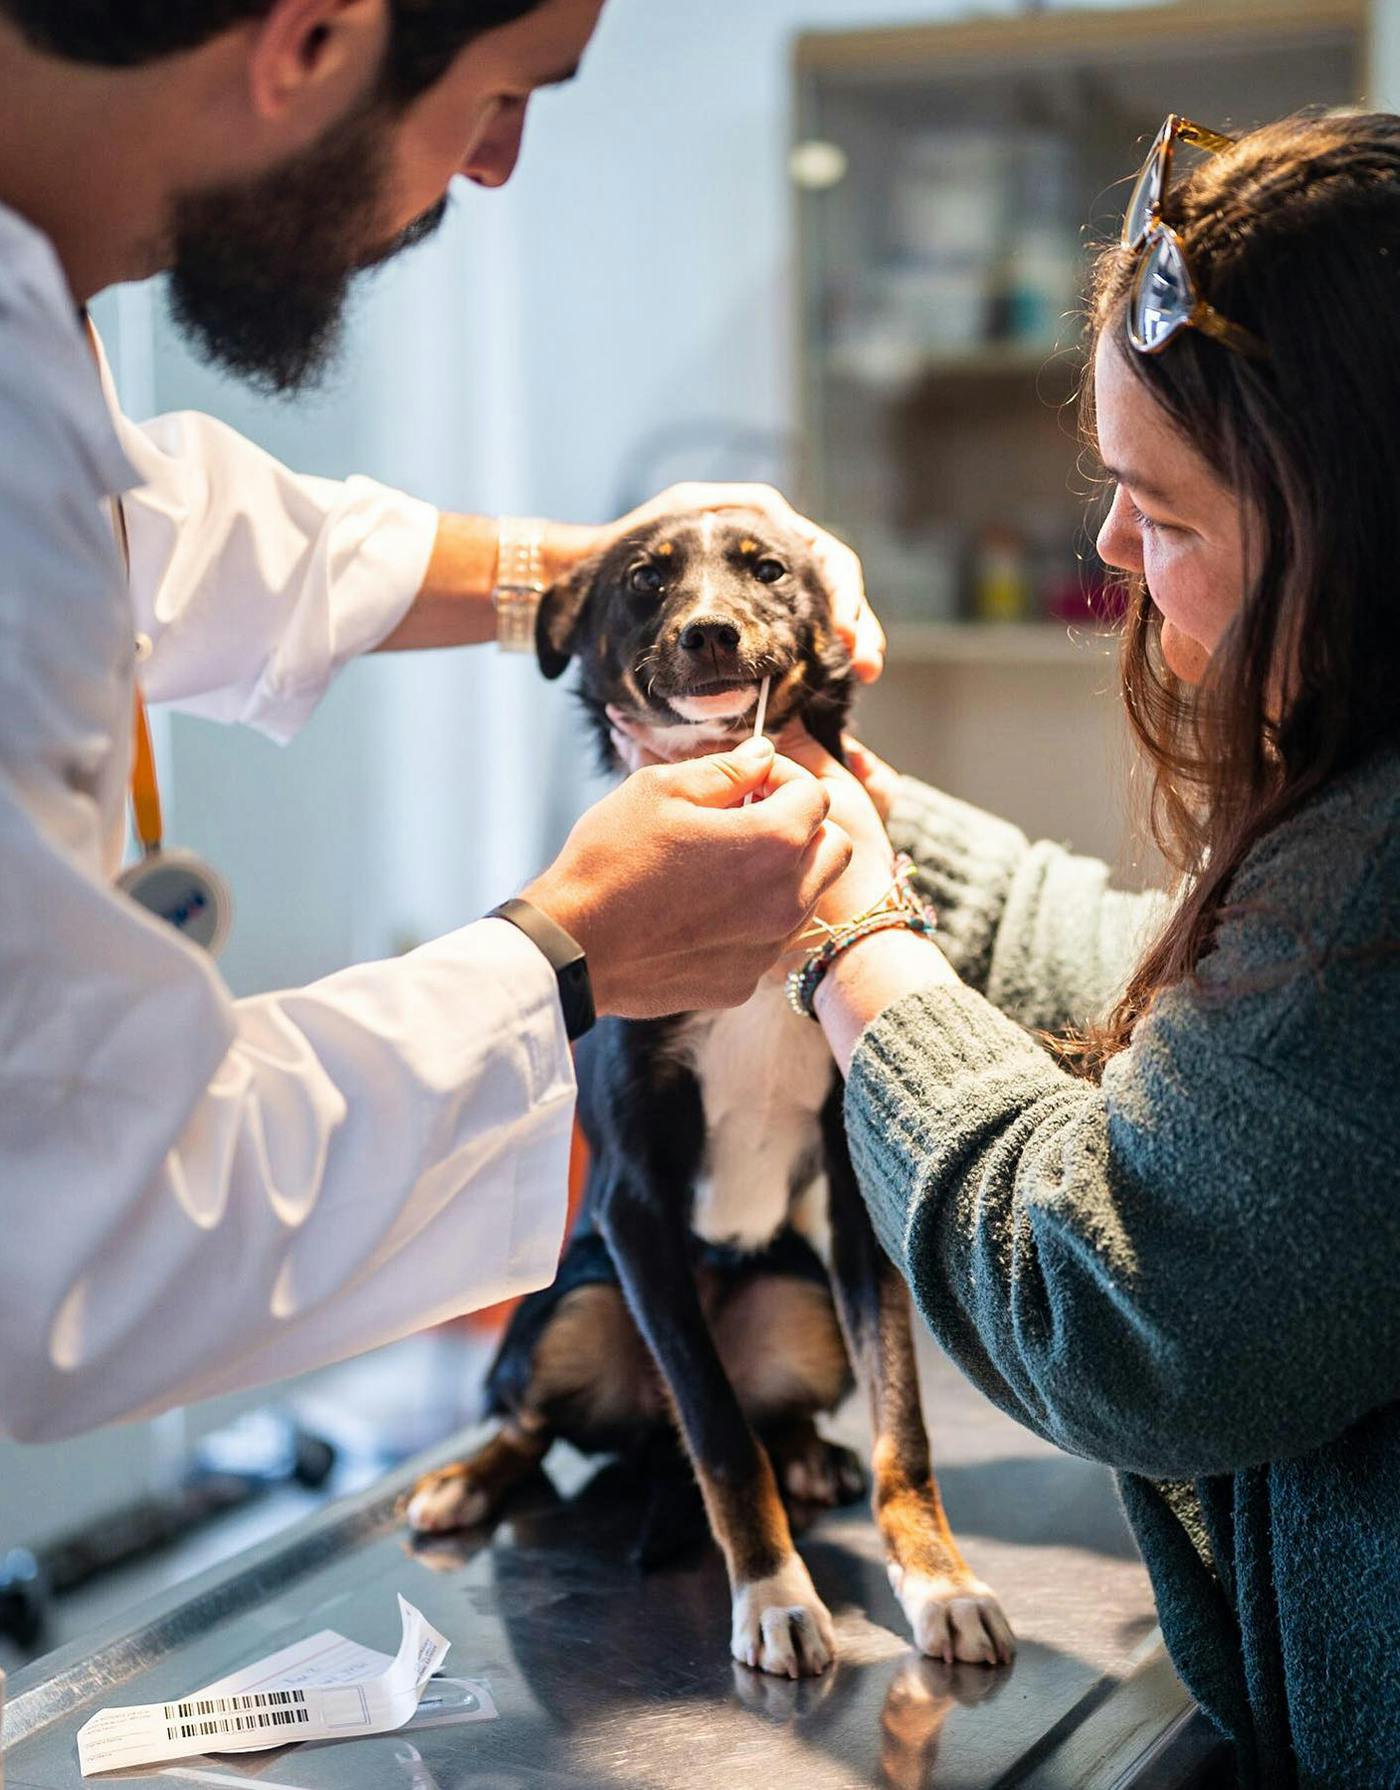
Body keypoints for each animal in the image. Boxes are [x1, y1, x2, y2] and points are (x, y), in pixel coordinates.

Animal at [402, 515, 1009, 1675]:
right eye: (645, 581)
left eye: (766, 567)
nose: (710, 631)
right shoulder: (634, 1201)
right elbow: (721, 1438)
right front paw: (773, 1595)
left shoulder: (853, 1203)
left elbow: (901, 1432)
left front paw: (940, 1580)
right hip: (577, 1308)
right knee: (536, 1419)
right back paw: (465, 1479)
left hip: (800, 1304)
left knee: (774, 1410)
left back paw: (811, 1455)